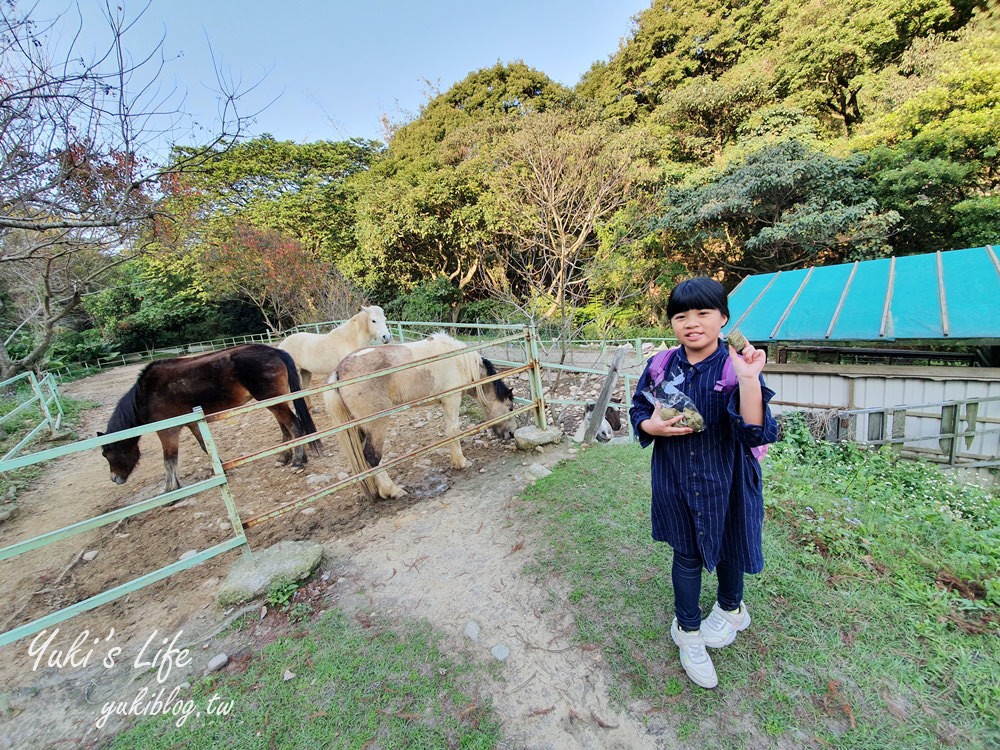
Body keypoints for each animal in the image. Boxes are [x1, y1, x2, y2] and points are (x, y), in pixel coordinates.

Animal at [98, 346, 320, 494]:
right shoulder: (194, 423)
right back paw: (285, 457)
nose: (114, 479)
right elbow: (205, 447)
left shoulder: (167, 431)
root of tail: (275, 351)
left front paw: (170, 490)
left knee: (294, 425)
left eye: (108, 454)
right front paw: (220, 469)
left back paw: (297, 461)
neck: (145, 394)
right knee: (285, 427)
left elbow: (169, 459)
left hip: (273, 400)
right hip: (272, 400)